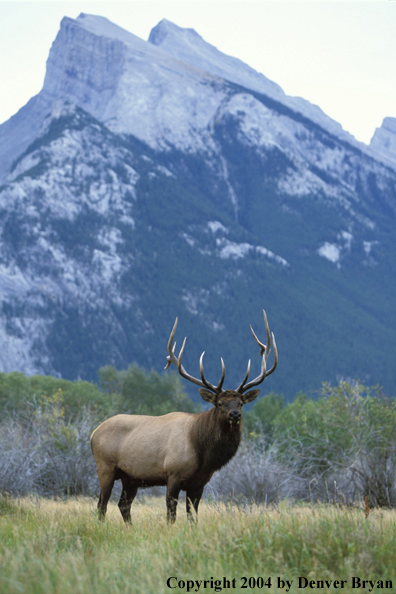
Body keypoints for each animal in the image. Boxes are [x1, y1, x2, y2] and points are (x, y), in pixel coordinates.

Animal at [91, 310, 278, 524]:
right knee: (101, 505)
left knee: (123, 505)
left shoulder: (199, 483)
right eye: (219, 403)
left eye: (240, 403)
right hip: (105, 467)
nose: (235, 414)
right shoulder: (173, 474)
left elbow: (192, 516)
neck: (203, 453)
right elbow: (171, 514)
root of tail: (93, 433)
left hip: (130, 477)